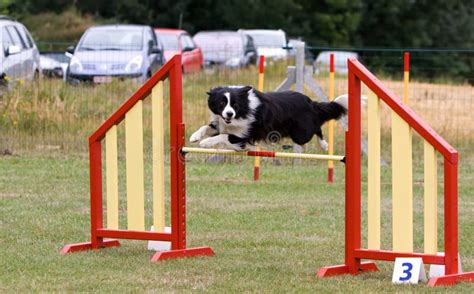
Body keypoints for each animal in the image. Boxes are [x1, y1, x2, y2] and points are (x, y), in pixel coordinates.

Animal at [191, 84, 350, 149]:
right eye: (222, 103)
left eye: (235, 104)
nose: (229, 114)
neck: (243, 111)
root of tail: (310, 102)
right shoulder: (222, 124)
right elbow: (207, 127)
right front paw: (194, 137)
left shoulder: (244, 134)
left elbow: (224, 136)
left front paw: (205, 143)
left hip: (300, 133)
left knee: (317, 127)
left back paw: (324, 145)